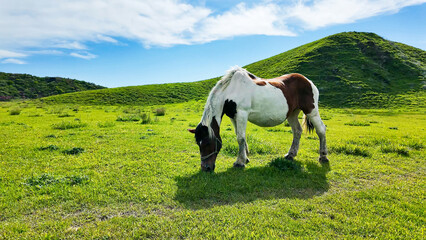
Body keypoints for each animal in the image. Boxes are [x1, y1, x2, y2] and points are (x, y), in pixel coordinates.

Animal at [187, 65, 330, 172]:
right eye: (198, 143)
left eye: (206, 143)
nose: (206, 168)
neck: (231, 90)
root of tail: (308, 81)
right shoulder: (234, 116)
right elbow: (240, 136)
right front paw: (245, 158)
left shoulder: (242, 114)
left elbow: (240, 138)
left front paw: (240, 162)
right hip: (292, 113)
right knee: (297, 131)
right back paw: (291, 154)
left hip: (311, 110)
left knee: (321, 130)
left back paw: (323, 157)